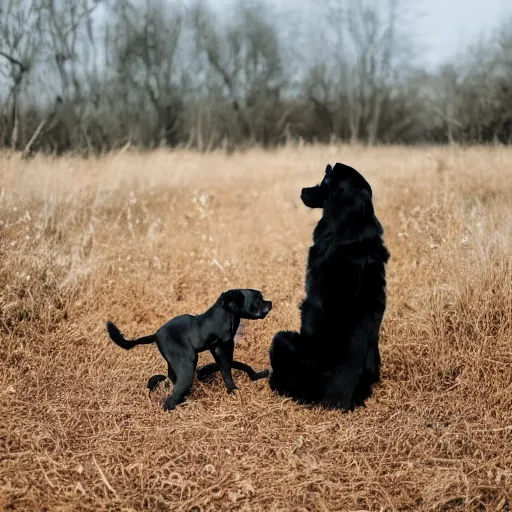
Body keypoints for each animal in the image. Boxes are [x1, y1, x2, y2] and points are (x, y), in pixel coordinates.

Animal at [107, 288, 272, 412]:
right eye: (258, 297)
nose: (270, 302)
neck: (227, 315)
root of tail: (155, 335)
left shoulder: (223, 347)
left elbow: (230, 367)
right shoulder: (219, 348)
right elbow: (228, 367)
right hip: (188, 361)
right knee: (169, 402)